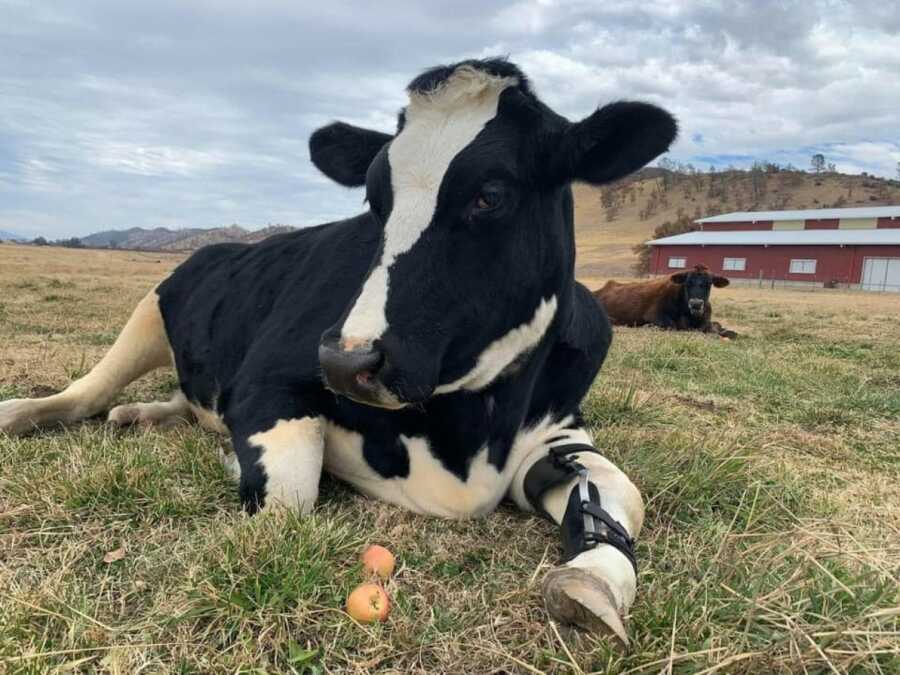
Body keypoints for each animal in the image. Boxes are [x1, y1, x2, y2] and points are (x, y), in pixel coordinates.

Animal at [0, 59, 676, 644]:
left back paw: (141, 415)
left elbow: (621, 495)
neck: (468, 435)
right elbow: (290, 497)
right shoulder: (268, 378)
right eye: (375, 199)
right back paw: (27, 412)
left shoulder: (557, 425)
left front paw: (595, 579)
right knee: (88, 390)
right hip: (154, 307)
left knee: (183, 401)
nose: (349, 363)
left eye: (490, 194)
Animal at [596, 264, 736, 338]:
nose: (696, 304)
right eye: (687, 283)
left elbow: (719, 327)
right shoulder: (655, 315)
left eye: (709, 283)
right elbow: (672, 326)